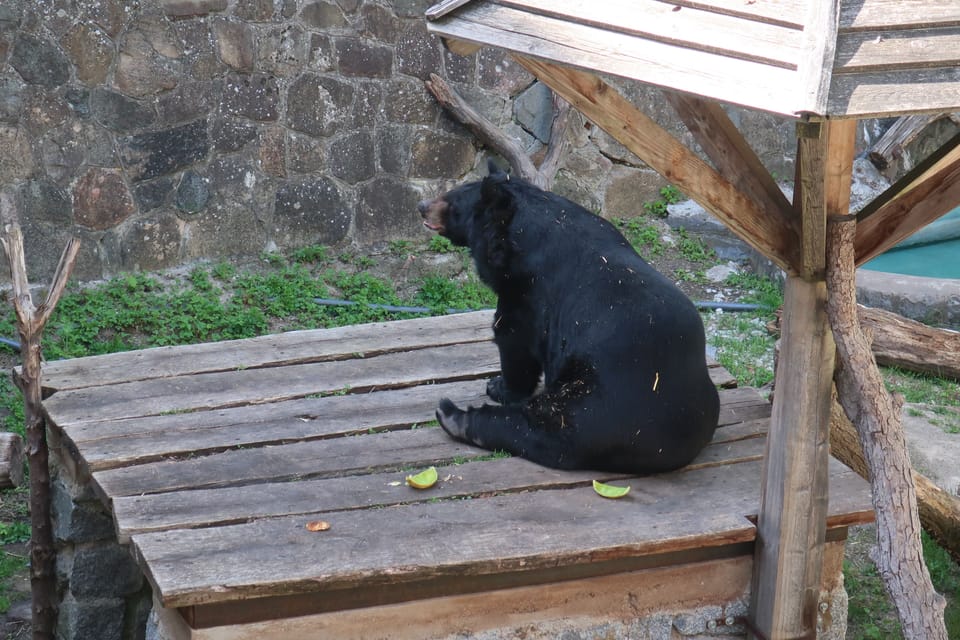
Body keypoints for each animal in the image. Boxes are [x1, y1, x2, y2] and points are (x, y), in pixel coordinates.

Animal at [420, 164, 720, 476]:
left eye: (452, 202)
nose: (421, 207)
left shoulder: (529, 290)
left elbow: (513, 339)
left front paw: (499, 386)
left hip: (595, 401)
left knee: (541, 428)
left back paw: (453, 415)